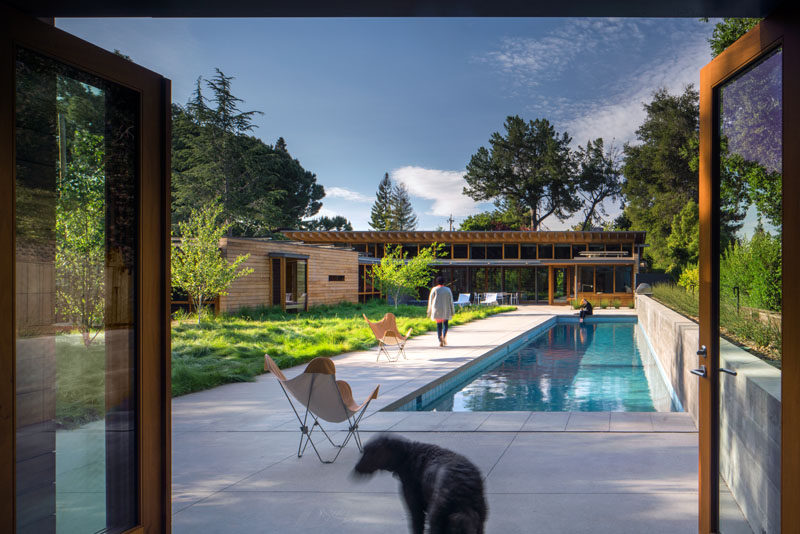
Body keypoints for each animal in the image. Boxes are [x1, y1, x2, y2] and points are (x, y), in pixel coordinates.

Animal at [352, 436, 488, 534]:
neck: (409, 455)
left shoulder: (416, 511)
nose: (354, 470)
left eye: (370, 452)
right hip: (478, 523)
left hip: (436, 521)